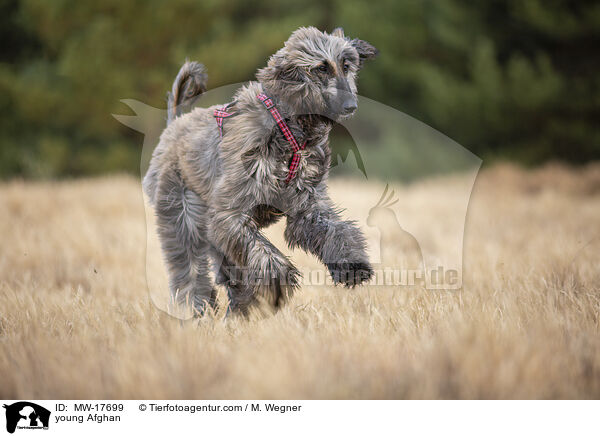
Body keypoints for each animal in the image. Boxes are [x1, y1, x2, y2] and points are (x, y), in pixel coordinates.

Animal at [145, 26, 378, 314]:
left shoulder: (306, 205)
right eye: (321, 68)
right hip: (182, 211)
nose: (350, 106)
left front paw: (351, 265)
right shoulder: (229, 215)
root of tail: (173, 126)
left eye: (346, 65)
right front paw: (277, 286)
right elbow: (262, 254)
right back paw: (197, 308)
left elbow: (335, 229)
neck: (289, 130)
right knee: (188, 269)